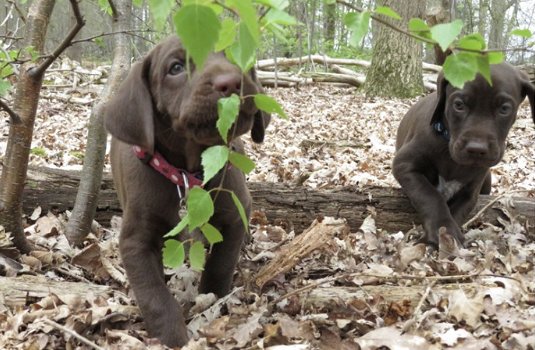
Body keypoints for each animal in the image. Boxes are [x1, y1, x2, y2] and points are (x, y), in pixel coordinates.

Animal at [104, 37, 270, 346]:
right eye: (176, 68)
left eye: (233, 57)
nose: (231, 82)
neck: (186, 173)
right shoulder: (136, 240)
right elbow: (154, 295)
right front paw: (172, 337)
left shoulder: (233, 214)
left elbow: (220, 264)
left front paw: (212, 299)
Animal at [392, 63, 532, 249]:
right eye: (459, 105)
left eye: (504, 109)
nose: (477, 149)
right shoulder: (405, 165)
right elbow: (429, 196)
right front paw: (441, 231)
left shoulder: (471, 191)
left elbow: (458, 211)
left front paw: (448, 235)